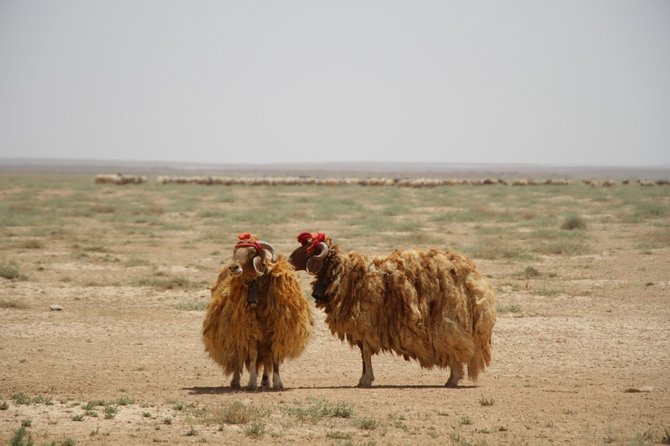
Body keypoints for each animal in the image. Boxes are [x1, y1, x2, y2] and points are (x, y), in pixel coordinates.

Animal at [202, 233, 316, 390]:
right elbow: (252, 357)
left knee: (266, 360)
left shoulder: (276, 334)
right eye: (235, 251)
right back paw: (236, 381)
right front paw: (252, 383)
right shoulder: (250, 334)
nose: (233, 267)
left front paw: (277, 383)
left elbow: (274, 359)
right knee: (238, 358)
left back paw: (265, 380)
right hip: (236, 335)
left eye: (251, 252)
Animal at [288, 232, 498, 388]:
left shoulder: (365, 323)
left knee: (456, 347)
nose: (288, 261)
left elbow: (365, 353)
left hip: (449, 322)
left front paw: (365, 380)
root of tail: (475, 278)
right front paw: (365, 378)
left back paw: (453, 379)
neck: (344, 273)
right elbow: (364, 354)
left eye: (306, 249)